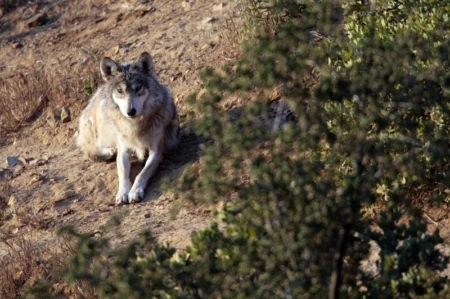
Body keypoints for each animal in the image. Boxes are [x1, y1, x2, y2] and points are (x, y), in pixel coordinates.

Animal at [76, 52, 179, 205]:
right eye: (120, 90)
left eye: (138, 88)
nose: (130, 111)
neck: (135, 126)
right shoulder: (123, 151)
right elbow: (123, 176)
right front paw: (122, 193)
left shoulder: (156, 152)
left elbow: (142, 174)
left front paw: (135, 191)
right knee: (90, 148)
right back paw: (109, 151)